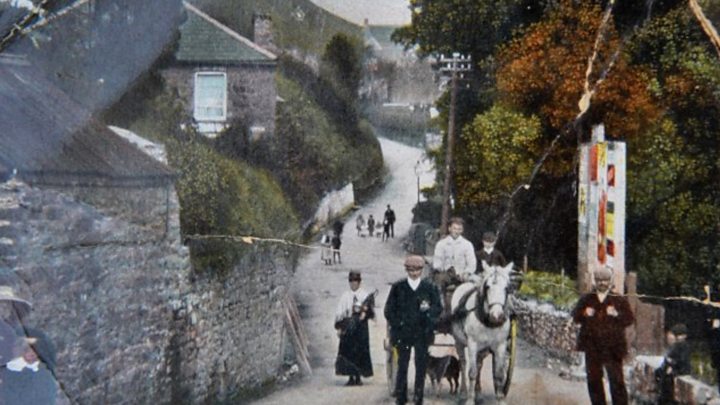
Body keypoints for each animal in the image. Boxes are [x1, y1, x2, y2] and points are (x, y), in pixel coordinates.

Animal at [450, 260, 512, 402]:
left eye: (506, 288)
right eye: (487, 287)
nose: (497, 316)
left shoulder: (501, 345)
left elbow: (499, 375)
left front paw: (501, 399)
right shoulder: (472, 344)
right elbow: (472, 373)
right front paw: (469, 400)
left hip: (483, 349)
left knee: (479, 365)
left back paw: (478, 393)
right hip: (458, 341)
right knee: (463, 363)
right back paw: (464, 392)